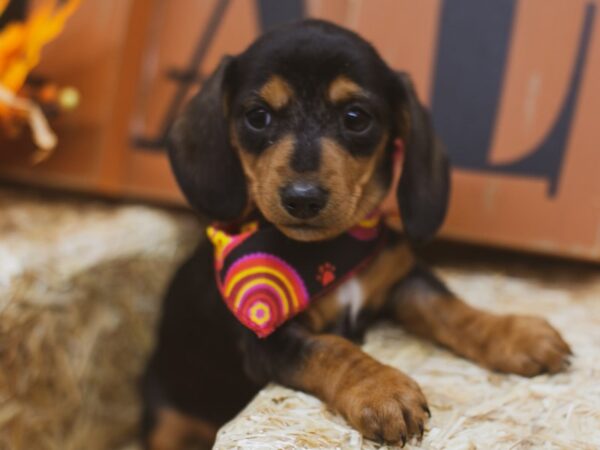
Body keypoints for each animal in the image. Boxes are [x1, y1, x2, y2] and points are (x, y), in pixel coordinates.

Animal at [142, 19, 572, 448]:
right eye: (258, 116)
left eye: (355, 117)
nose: (302, 198)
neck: (330, 249)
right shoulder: (268, 340)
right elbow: (331, 349)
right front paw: (382, 390)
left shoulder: (400, 278)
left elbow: (448, 307)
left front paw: (515, 334)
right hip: (168, 417)